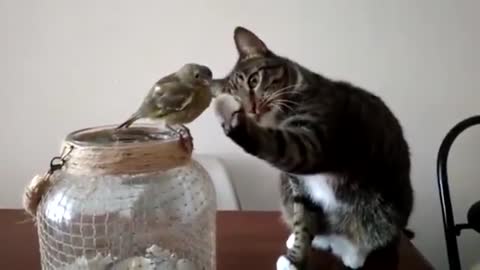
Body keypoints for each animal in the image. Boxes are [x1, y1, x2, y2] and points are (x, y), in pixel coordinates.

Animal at [212, 25, 414, 270]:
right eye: (236, 96)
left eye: (253, 81)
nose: (250, 109)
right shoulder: (298, 185)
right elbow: (303, 220)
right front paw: (296, 258)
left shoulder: (313, 144)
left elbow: (276, 144)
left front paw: (229, 116)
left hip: (384, 209)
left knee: (374, 233)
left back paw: (354, 253)